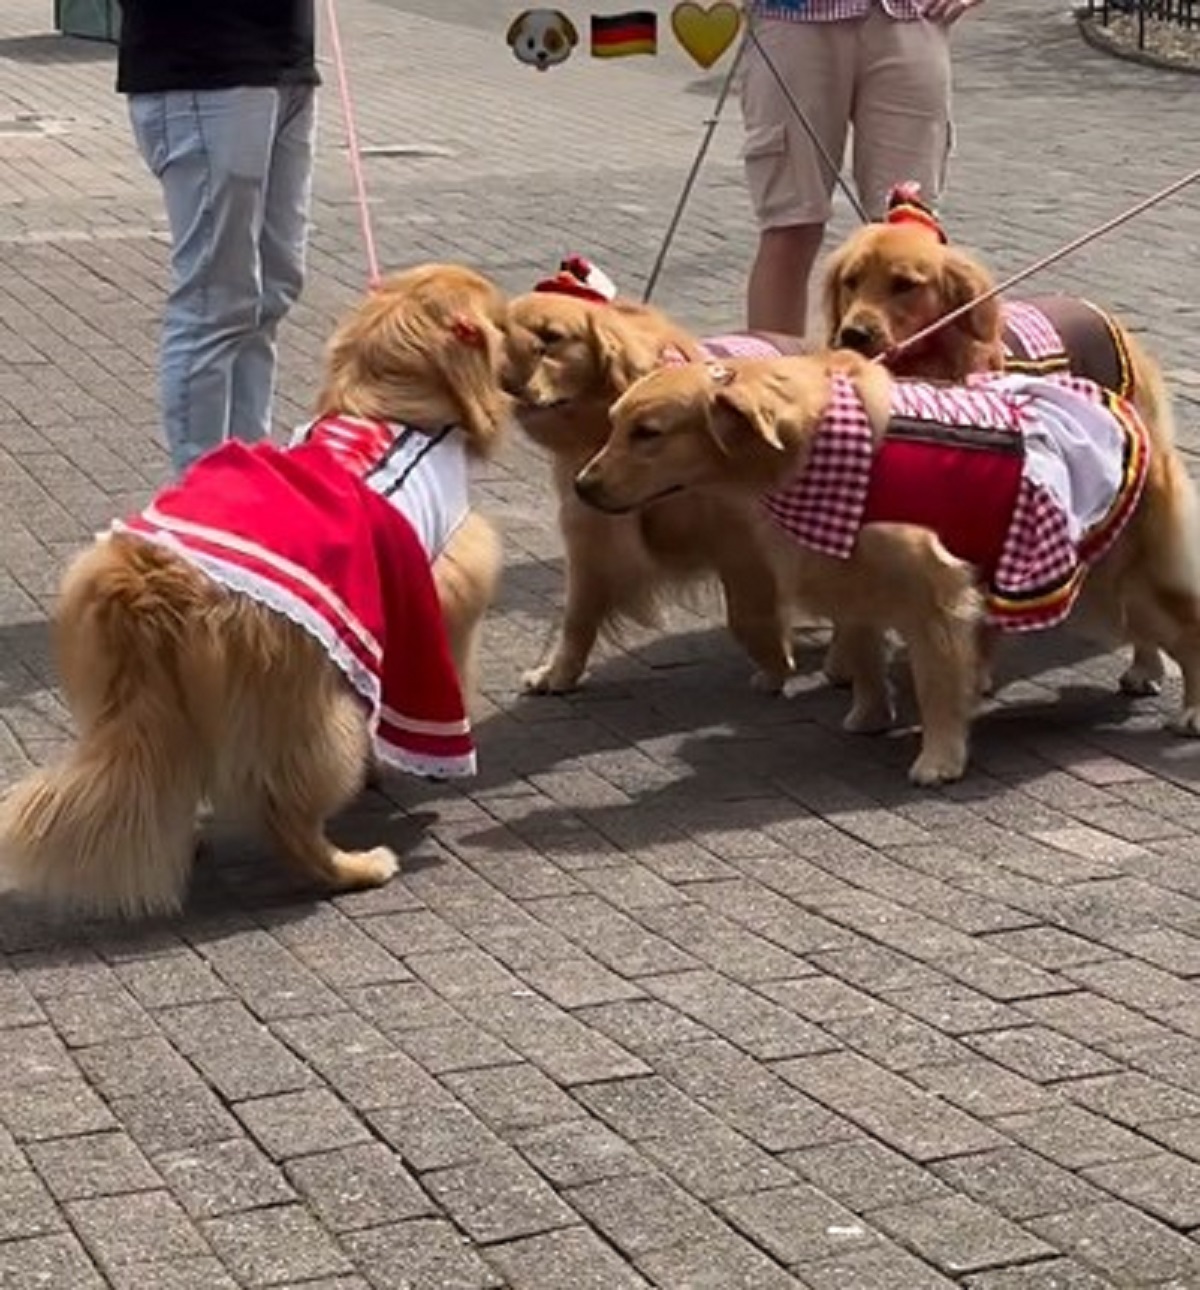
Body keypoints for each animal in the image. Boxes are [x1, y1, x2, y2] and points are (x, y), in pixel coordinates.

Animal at [0, 261, 510, 918]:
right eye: (502, 321)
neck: (396, 409)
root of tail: (152, 583)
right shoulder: (439, 601)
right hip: (312, 711)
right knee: (286, 814)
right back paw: (356, 866)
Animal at [500, 276, 810, 691]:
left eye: (551, 338)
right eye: (501, 333)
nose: (503, 379)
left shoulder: (741, 536)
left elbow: (747, 613)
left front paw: (776, 665)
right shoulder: (590, 535)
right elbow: (576, 616)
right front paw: (557, 673)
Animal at [570, 353, 1197, 784]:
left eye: (647, 434)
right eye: (613, 423)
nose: (581, 486)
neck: (814, 443)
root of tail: (1126, 410)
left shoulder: (934, 593)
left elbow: (937, 681)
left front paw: (939, 756)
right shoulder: (855, 574)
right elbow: (864, 651)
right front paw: (869, 714)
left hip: (1112, 579)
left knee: (1186, 632)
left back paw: (1189, 711)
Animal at [820, 203, 1171, 696]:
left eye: (905, 284)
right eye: (851, 281)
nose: (853, 334)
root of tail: (1101, 313)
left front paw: (975, 673)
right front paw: (844, 661)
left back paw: (1146, 664)